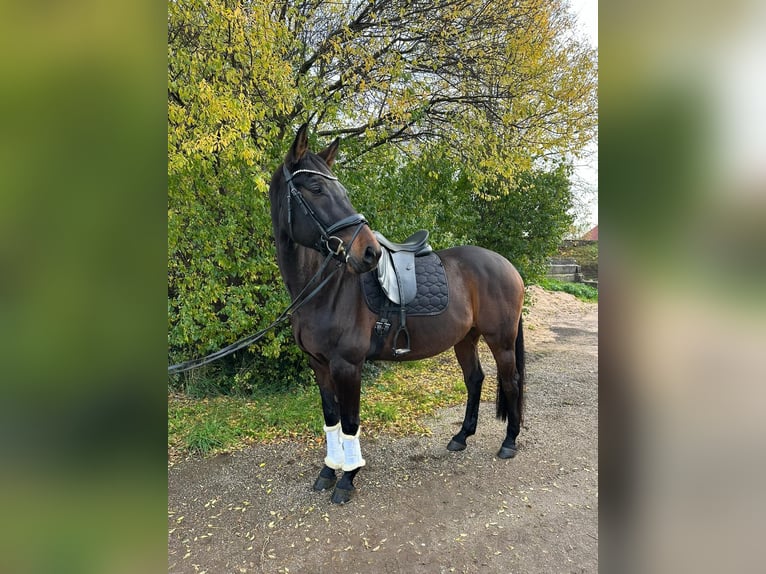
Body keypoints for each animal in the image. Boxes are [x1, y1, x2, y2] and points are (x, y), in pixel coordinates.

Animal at [269, 124, 526, 504]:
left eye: (341, 190)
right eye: (316, 188)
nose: (370, 252)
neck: (325, 289)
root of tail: (508, 266)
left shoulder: (348, 365)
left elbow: (350, 422)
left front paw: (347, 479)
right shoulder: (319, 365)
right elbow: (331, 419)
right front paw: (328, 471)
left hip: (501, 340)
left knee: (510, 381)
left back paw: (509, 442)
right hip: (466, 339)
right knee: (475, 379)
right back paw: (461, 437)